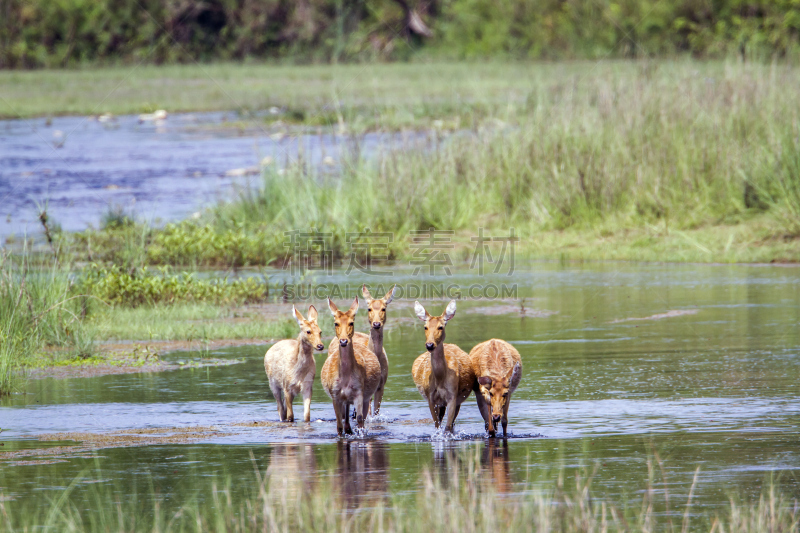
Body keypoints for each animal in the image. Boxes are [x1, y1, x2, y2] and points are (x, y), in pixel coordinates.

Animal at [320, 296, 382, 436]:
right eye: (336, 323)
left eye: (351, 323)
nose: (343, 341)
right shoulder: (335, 394)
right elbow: (339, 424)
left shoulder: (359, 391)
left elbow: (359, 418)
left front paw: (360, 434)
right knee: (345, 417)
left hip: (365, 396)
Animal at [412, 300, 476, 432]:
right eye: (425, 327)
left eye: (440, 327)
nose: (430, 345)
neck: (440, 379)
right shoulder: (430, 397)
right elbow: (437, 425)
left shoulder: (453, 395)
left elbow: (447, 427)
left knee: (452, 423)